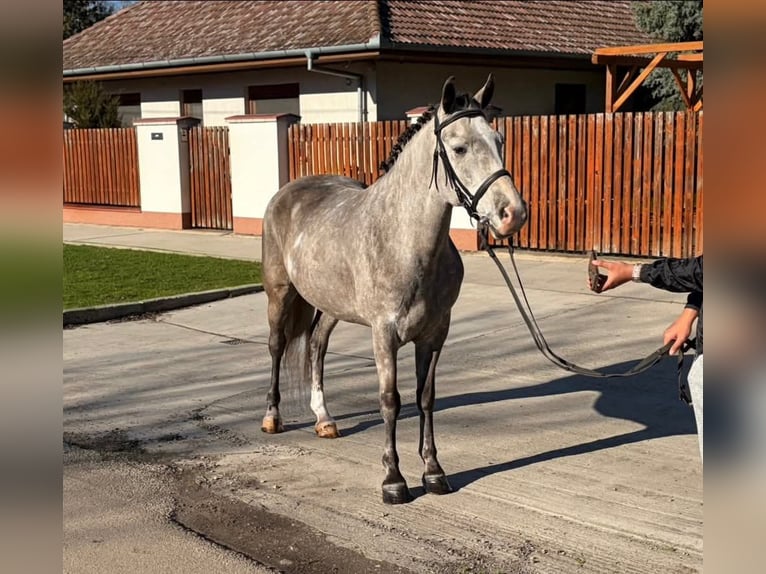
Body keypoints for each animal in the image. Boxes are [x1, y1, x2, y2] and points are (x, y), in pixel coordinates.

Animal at [260, 75, 527, 504]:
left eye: (499, 140)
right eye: (459, 147)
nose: (512, 214)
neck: (404, 241)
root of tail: (289, 191)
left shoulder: (435, 335)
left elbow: (425, 398)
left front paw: (433, 472)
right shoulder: (383, 335)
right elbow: (390, 401)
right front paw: (393, 479)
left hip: (331, 306)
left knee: (316, 347)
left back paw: (324, 419)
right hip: (279, 294)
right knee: (276, 346)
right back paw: (272, 417)